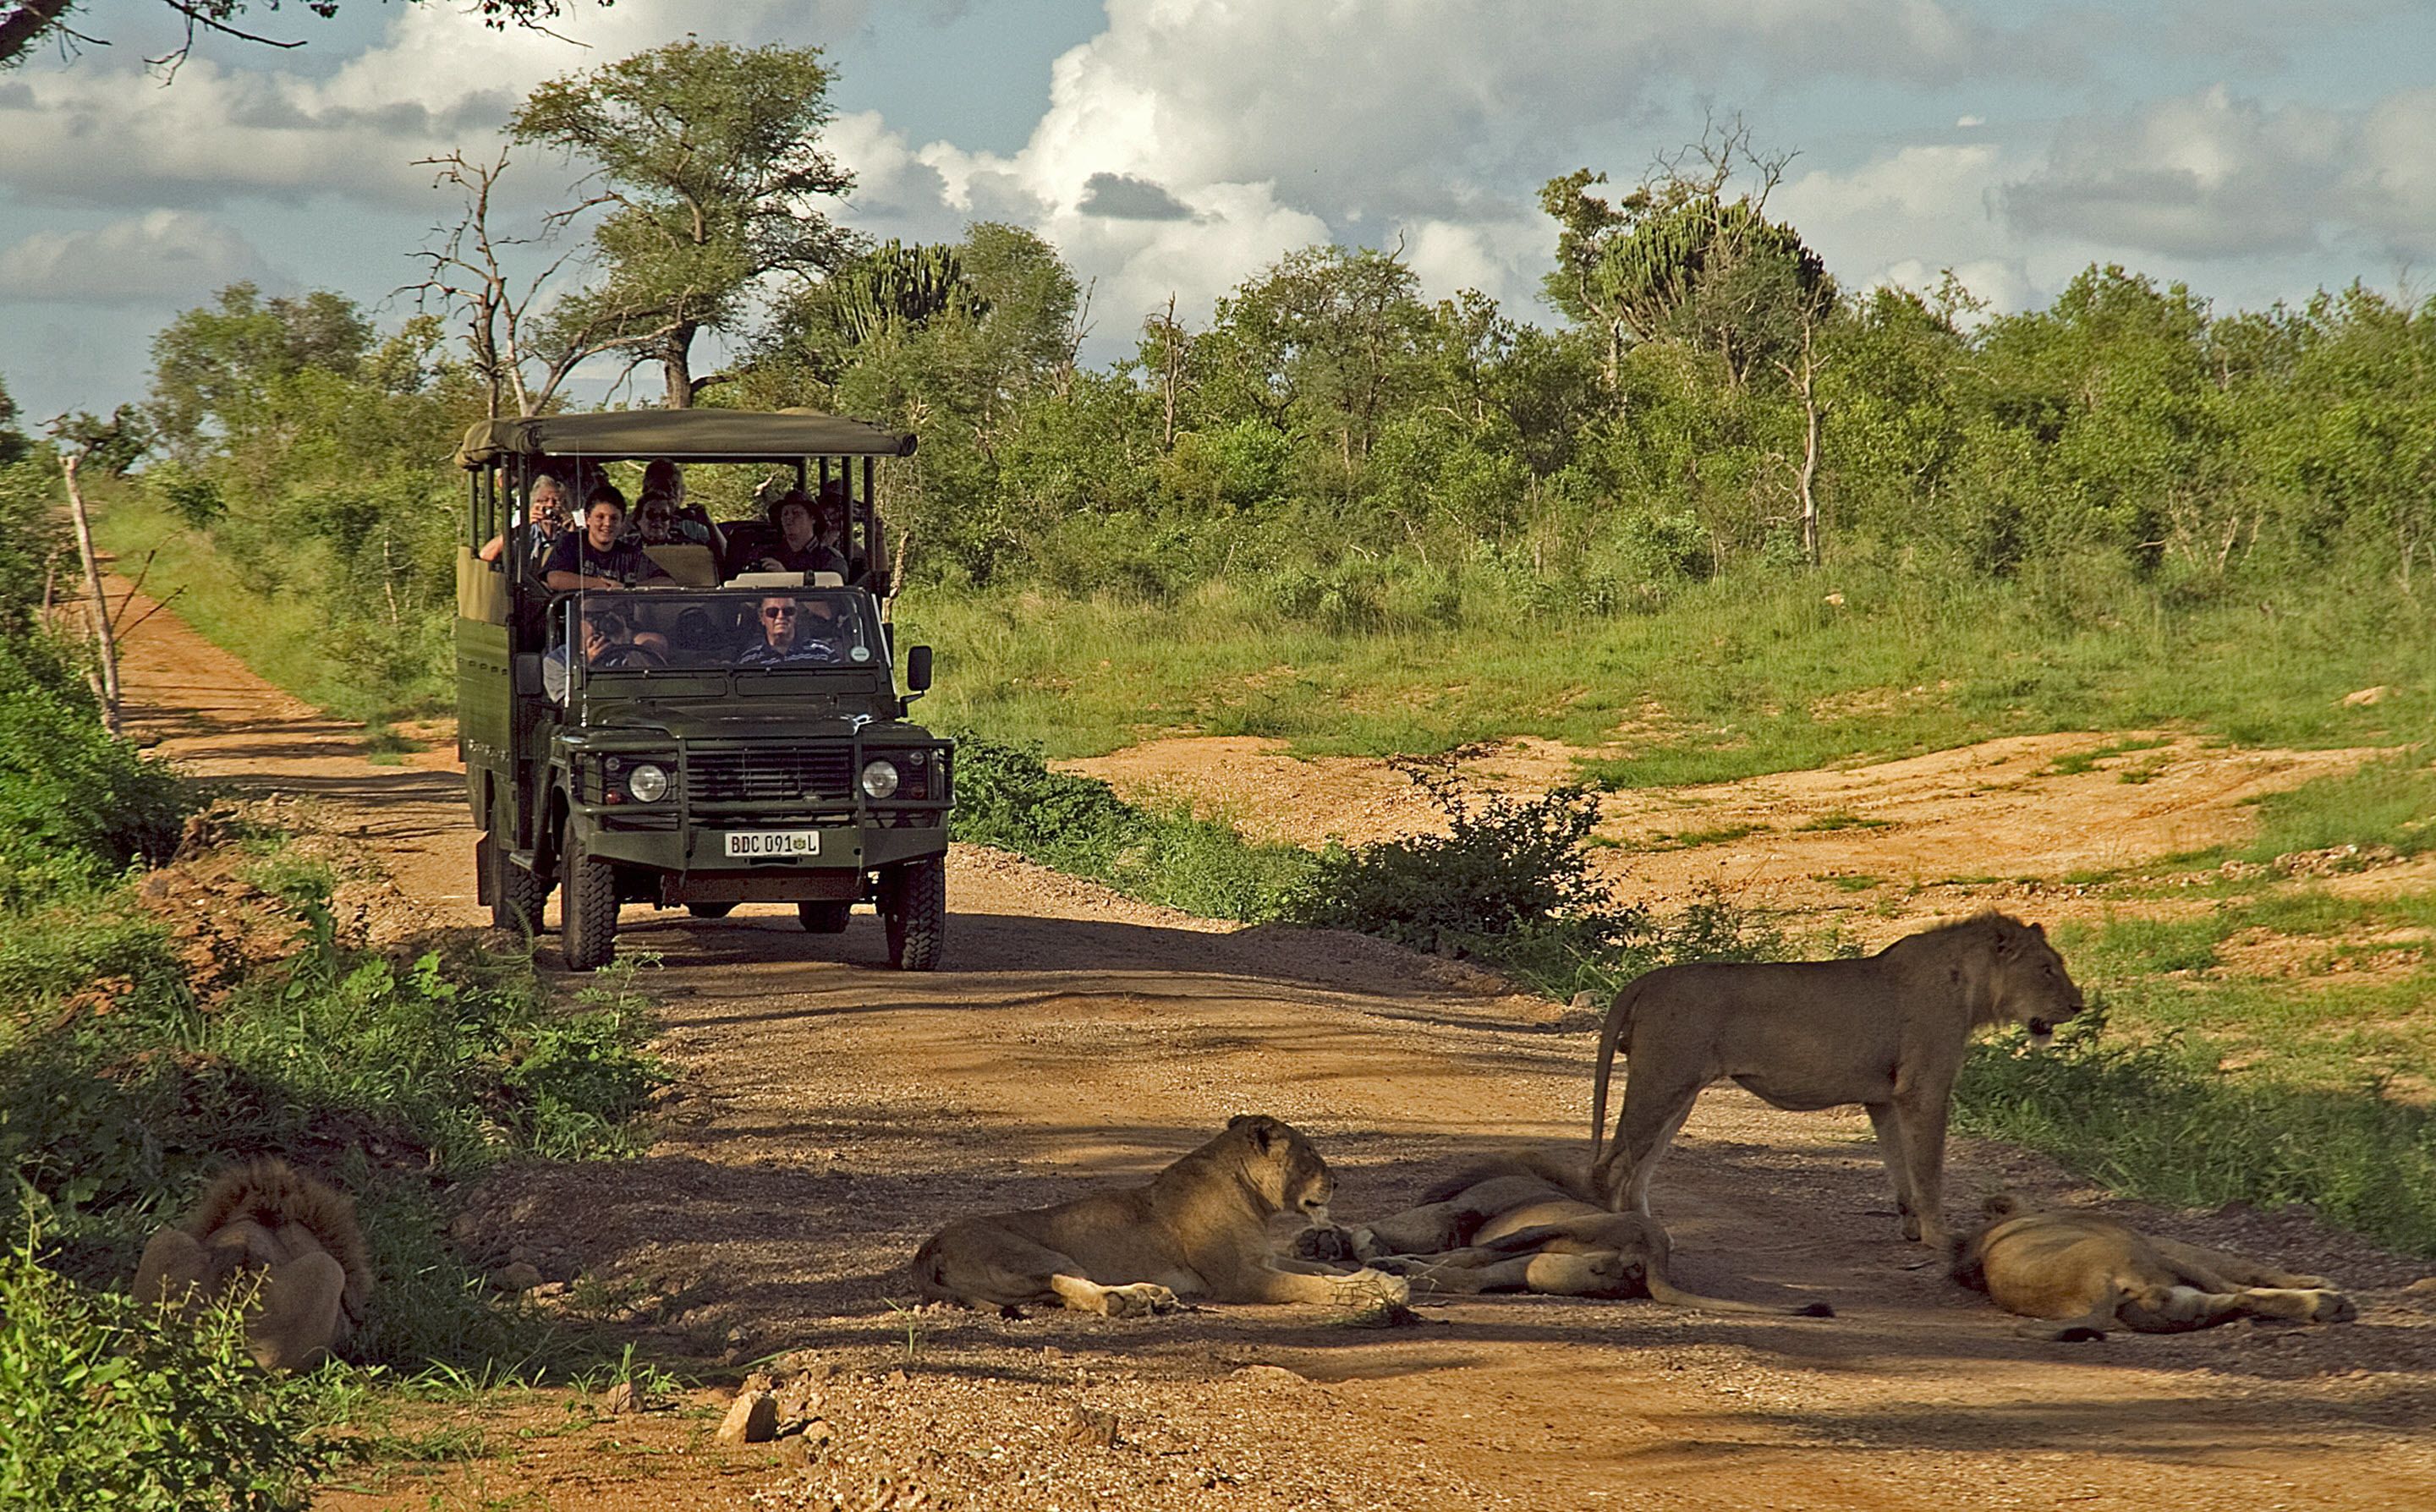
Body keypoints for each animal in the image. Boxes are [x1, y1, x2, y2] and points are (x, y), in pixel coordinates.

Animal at [912, 1115, 1411, 1317]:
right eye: (1309, 1153)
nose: (1338, 1183)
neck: (1252, 1198)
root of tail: (927, 1248)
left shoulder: (1264, 1259)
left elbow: (1322, 1270)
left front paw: (1371, 1274)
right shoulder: (1240, 1279)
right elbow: (1310, 1286)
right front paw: (1377, 1288)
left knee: (1067, 1294)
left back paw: (1150, 1296)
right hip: (1034, 1252)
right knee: (1073, 1284)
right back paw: (1131, 1300)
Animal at [1299, 1151, 1832, 1315]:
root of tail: (1653, 1252)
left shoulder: (1452, 1210)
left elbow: (1375, 1226)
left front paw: (1346, 1241)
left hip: (1541, 1229)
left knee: (1468, 1263)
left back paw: (1389, 1265)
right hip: (1539, 1265)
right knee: (1469, 1277)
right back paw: (1397, 1271)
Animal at [1588, 912, 2086, 1247]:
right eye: (2047, 968)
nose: (2078, 1006)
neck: (1970, 987)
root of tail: (1647, 980)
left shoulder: (1885, 1099)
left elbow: (1900, 1166)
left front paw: (1911, 1227)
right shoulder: (1924, 1090)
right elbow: (1928, 1170)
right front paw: (1941, 1239)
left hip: (1679, 1095)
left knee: (1637, 1174)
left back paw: (1656, 1236)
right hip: (1662, 1085)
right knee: (1610, 1168)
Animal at [1950, 1196, 2355, 1340]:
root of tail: (2100, 1290)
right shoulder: (2160, 1241)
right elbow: (2243, 1265)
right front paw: (2313, 1278)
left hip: (2174, 1299)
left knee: (2232, 1300)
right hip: (2150, 1253)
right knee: (2238, 1290)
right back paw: (2329, 1301)